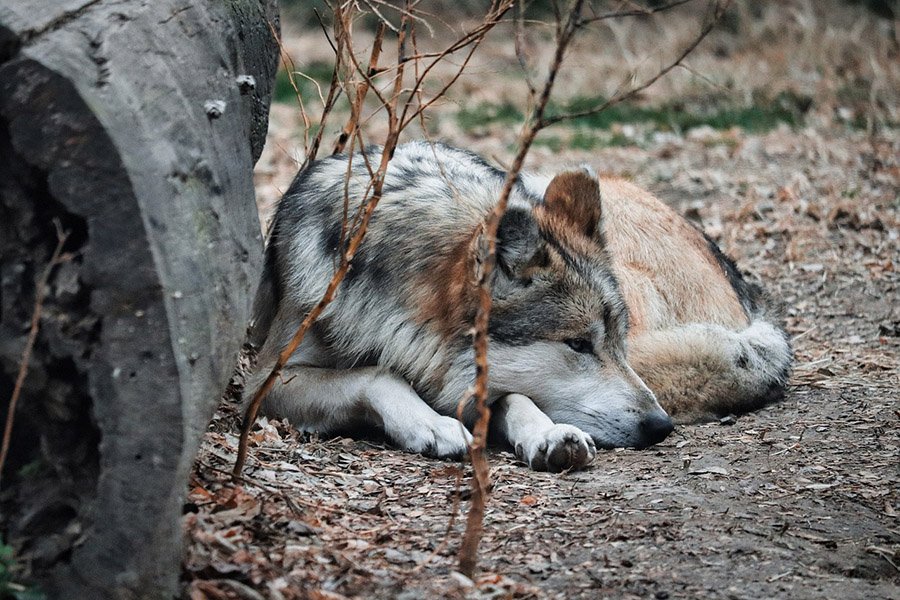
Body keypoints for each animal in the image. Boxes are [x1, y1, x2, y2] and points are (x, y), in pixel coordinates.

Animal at [245, 141, 791, 472]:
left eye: (613, 342)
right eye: (578, 345)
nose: (661, 427)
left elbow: (516, 397)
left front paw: (549, 435)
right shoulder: (266, 381)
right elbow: (377, 374)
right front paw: (431, 423)